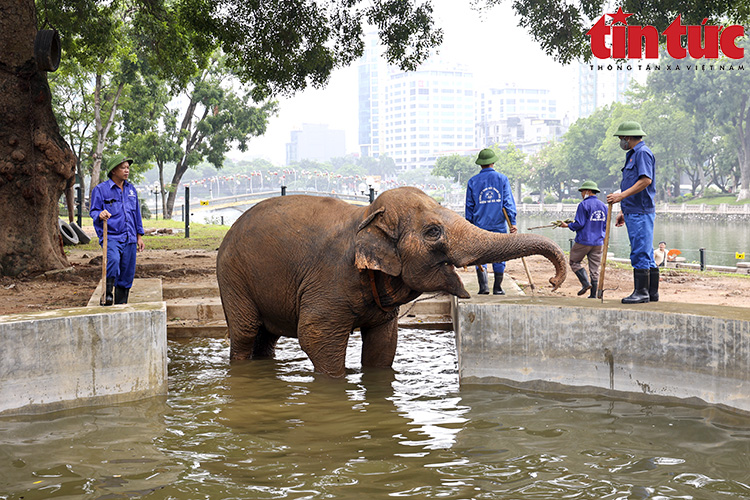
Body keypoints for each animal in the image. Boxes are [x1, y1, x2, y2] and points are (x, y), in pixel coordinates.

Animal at [219, 186, 568, 376]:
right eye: (433, 232)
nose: (553, 280)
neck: (365, 216)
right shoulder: (329, 278)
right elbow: (314, 336)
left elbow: (383, 344)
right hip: (232, 277)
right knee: (246, 332)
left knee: (266, 338)